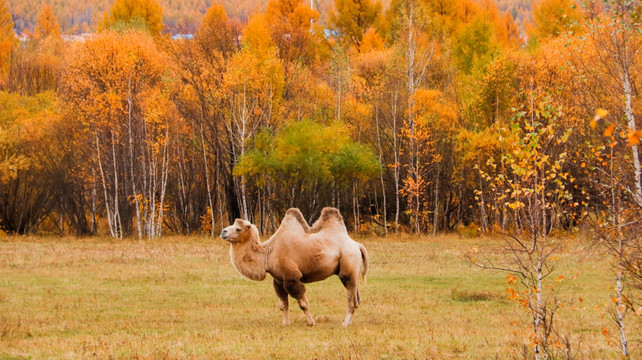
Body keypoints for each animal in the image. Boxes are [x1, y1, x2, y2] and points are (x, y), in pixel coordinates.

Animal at [220, 205, 368, 326]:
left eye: (238, 229)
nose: (223, 231)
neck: (268, 253)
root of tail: (357, 245)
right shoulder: (278, 279)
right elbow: (283, 304)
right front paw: (285, 323)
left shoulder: (292, 277)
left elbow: (303, 303)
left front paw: (311, 322)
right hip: (353, 272)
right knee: (357, 298)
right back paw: (348, 322)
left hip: (348, 264)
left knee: (351, 298)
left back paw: (345, 324)